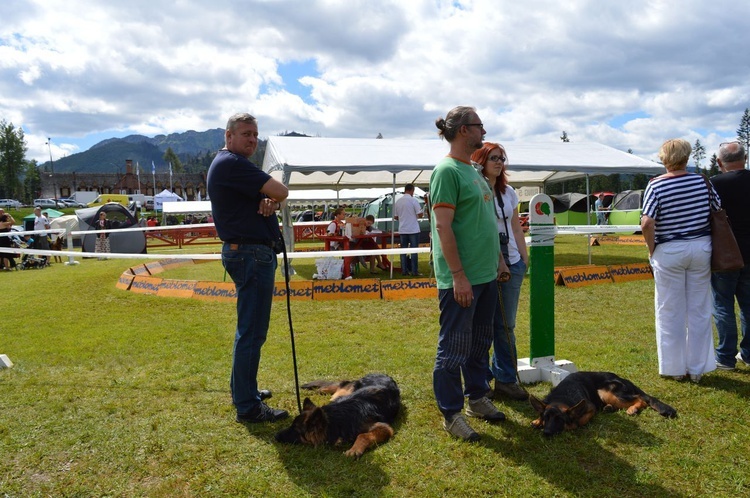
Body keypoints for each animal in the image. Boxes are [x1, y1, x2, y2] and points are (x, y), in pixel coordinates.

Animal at [528, 370, 680, 436]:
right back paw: (609, 408)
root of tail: (623, 379)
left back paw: (633, 409)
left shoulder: (590, 408)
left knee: (641, 399)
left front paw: (572, 424)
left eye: (559, 420)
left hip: (605, 392)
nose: (546, 433)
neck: (561, 398)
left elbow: (579, 421)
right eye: (546, 418)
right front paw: (537, 421)